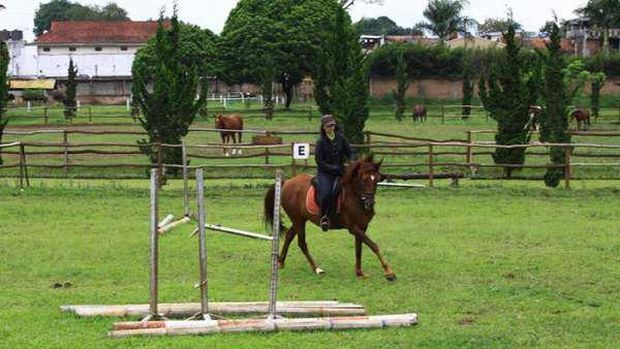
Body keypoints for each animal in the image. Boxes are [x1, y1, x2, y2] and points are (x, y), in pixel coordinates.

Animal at [262, 156, 398, 282]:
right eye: (363, 179)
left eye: (377, 180)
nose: (369, 203)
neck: (355, 196)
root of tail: (287, 182)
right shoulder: (354, 228)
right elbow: (373, 245)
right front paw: (389, 272)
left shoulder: (362, 227)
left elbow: (359, 249)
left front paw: (359, 272)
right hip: (298, 220)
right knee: (302, 243)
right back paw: (316, 268)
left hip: (300, 220)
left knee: (289, 235)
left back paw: (281, 262)